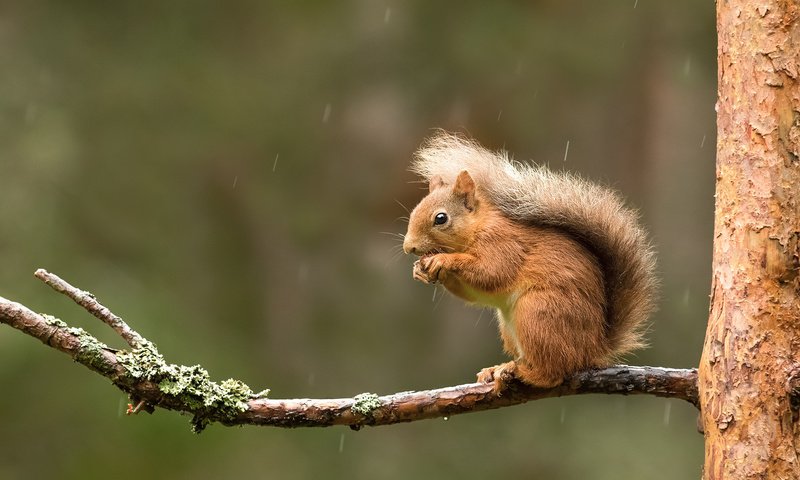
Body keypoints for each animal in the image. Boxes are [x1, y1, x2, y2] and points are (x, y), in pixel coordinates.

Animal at [400, 132, 656, 390]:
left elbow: (491, 273)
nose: (408, 247)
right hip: (512, 327)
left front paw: (444, 259)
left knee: (553, 372)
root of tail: (592, 351)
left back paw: (522, 372)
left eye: (441, 218)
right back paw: (499, 368)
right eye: (414, 211)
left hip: (537, 313)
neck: (478, 227)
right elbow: (475, 294)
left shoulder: (503, 244)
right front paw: (420, 270)